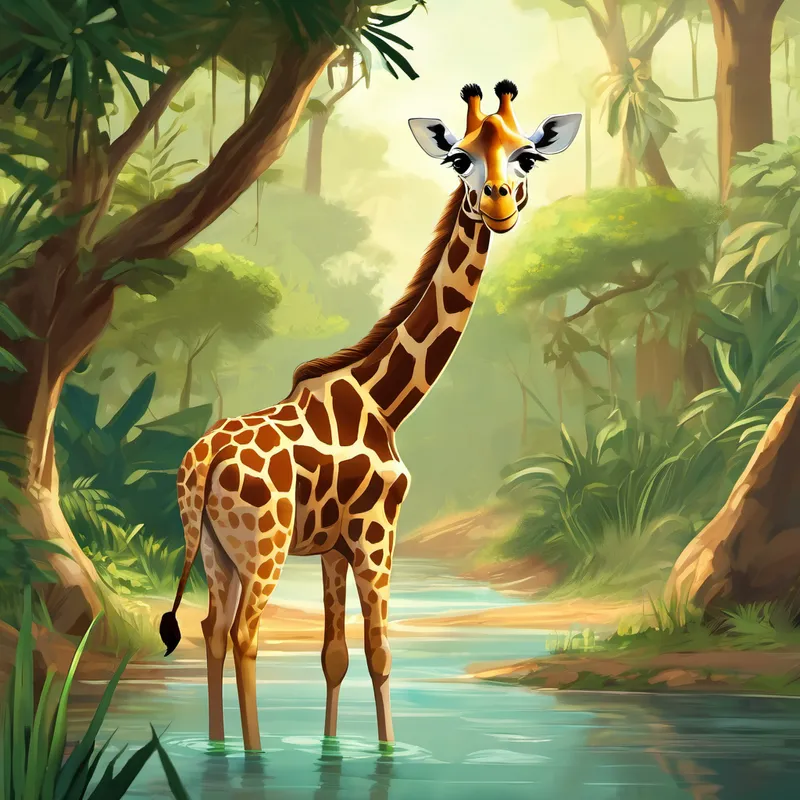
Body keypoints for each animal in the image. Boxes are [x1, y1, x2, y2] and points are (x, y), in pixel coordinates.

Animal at [160, 79, 580, 753]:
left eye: (527, 157)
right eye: (459, 158)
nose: (497, 206)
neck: (388, 400)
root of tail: (202, 461)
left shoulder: (334, 546)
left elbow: (335, 657)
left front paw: (335, 750)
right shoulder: (376, 532)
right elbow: (381, 653)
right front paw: (386, 752)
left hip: (212, 551)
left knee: (210, 630)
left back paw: (221, 749)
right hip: (264, 547)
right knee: (246, 633)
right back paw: (253, 756)